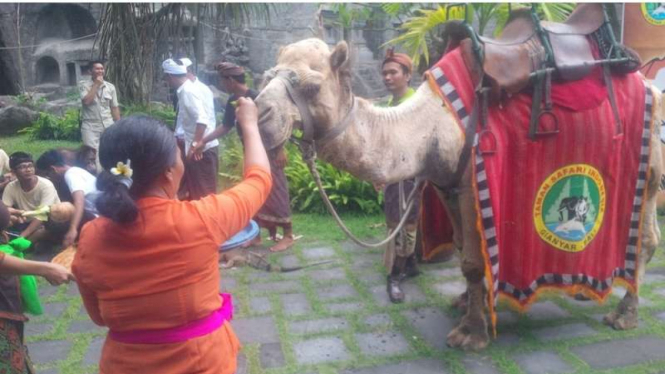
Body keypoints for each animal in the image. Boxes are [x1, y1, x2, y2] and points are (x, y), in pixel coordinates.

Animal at [253, 39, 660, 352]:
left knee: (647, 240)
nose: (259, 115)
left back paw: (623, 315)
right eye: (267, 76)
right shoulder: (446, 185)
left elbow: (474, 262)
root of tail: (653, 86)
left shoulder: (469, 184)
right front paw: (465, 302)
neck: (425, 126)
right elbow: (465, 250)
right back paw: (585, 291)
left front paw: (472, 333)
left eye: (310, 85)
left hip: (649, 172)